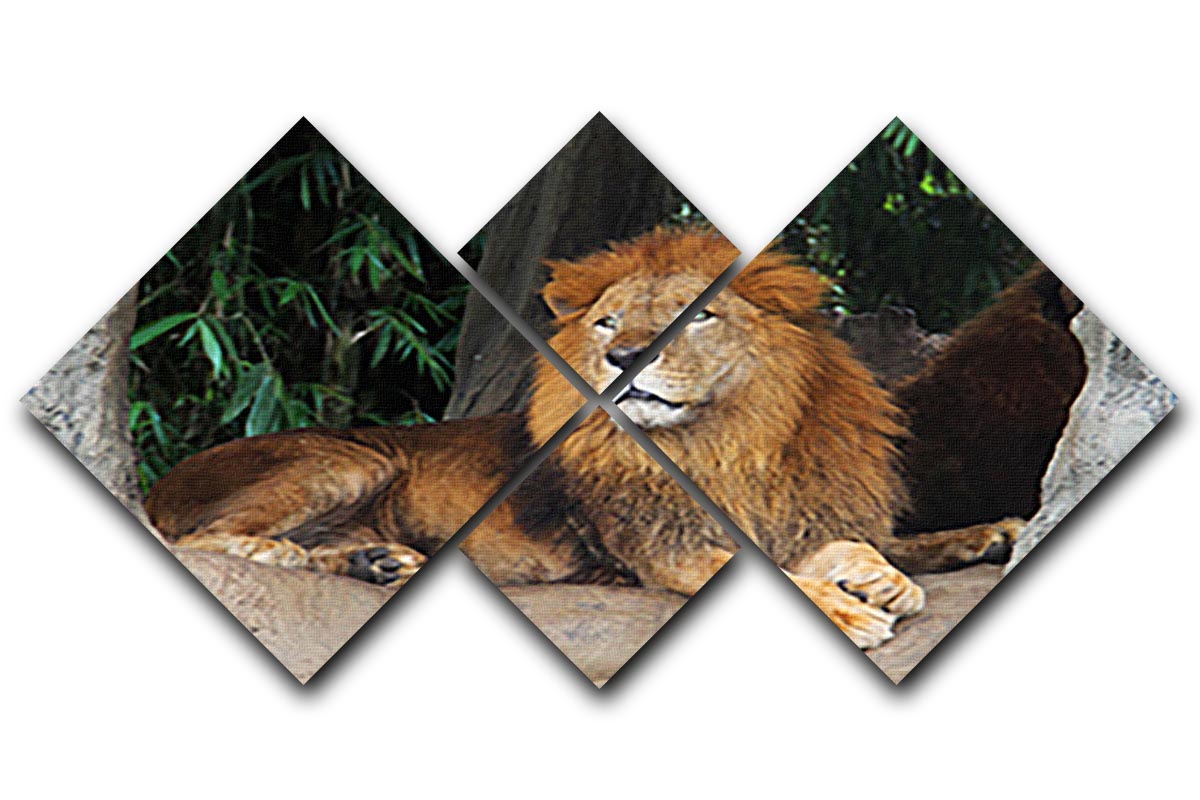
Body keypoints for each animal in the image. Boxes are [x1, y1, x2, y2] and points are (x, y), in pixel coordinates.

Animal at [147, 226, 1075, 650]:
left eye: (698, 316)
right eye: (607, 322)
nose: (627, 356)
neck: (730, 446)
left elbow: (883, 542)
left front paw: (921, 562)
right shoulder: (669, 550)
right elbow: (777, 579)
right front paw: (851, 610)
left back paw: (376, 562)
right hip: (351, 456)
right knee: (198, 537)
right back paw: (289, 554)